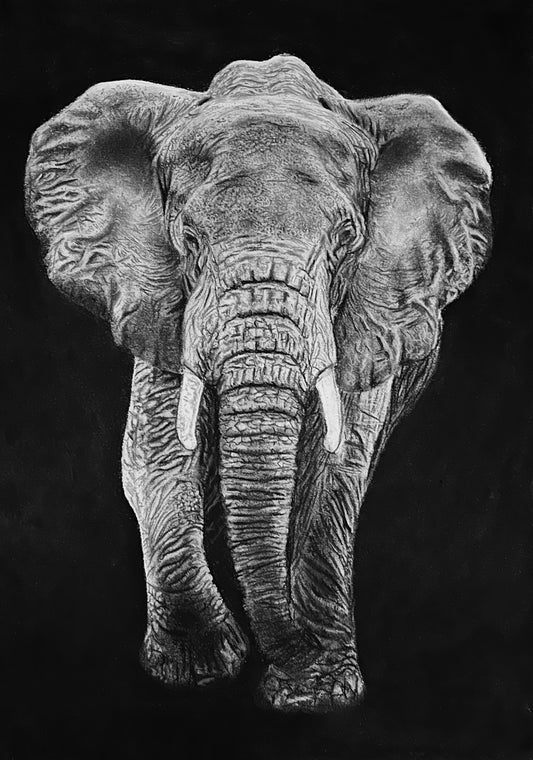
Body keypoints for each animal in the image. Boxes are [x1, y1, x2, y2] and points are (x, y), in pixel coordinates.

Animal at [25, 54, 492, 712]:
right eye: (189, 240)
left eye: (346, 241)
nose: (290, 657)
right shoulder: (162, 299)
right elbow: (155, 454)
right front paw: (197, 666)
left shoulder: (374, 307)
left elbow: (335, 471)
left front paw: (316, 690)